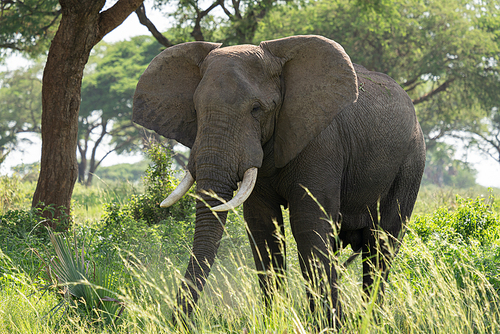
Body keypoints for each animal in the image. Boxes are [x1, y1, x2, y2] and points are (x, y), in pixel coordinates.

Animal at [133, 35, 426, 324]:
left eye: (256, 109)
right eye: (195, 109)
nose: (177, 322)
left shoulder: (322, 143)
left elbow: (309, 224)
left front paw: (328, 325)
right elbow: (263, 227)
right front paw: (276, 320)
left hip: (411, 162)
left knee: (382, 245)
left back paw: (371, 320)